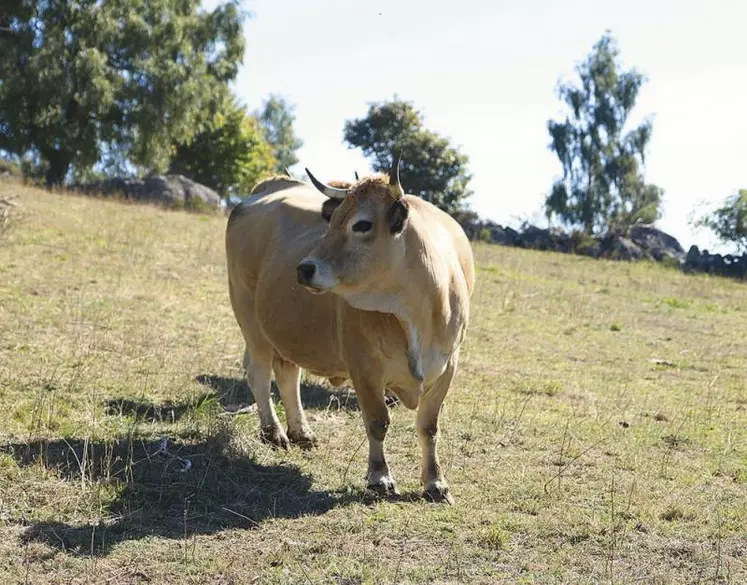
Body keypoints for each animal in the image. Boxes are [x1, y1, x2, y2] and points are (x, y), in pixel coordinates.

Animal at [225, 156, 476, 502]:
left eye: (362, 224)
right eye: (331, 222)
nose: (304, 268)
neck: (416, 311)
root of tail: (272, 185)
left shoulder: (448, 365)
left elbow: (429, 426)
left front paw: (435, 483)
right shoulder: (364, 365)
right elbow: (377, 421)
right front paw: (380, 477)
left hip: (284, 328)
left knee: (288, 373)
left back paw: (301, 431)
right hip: (249, 316)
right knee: (259, 371)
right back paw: (273, 432)